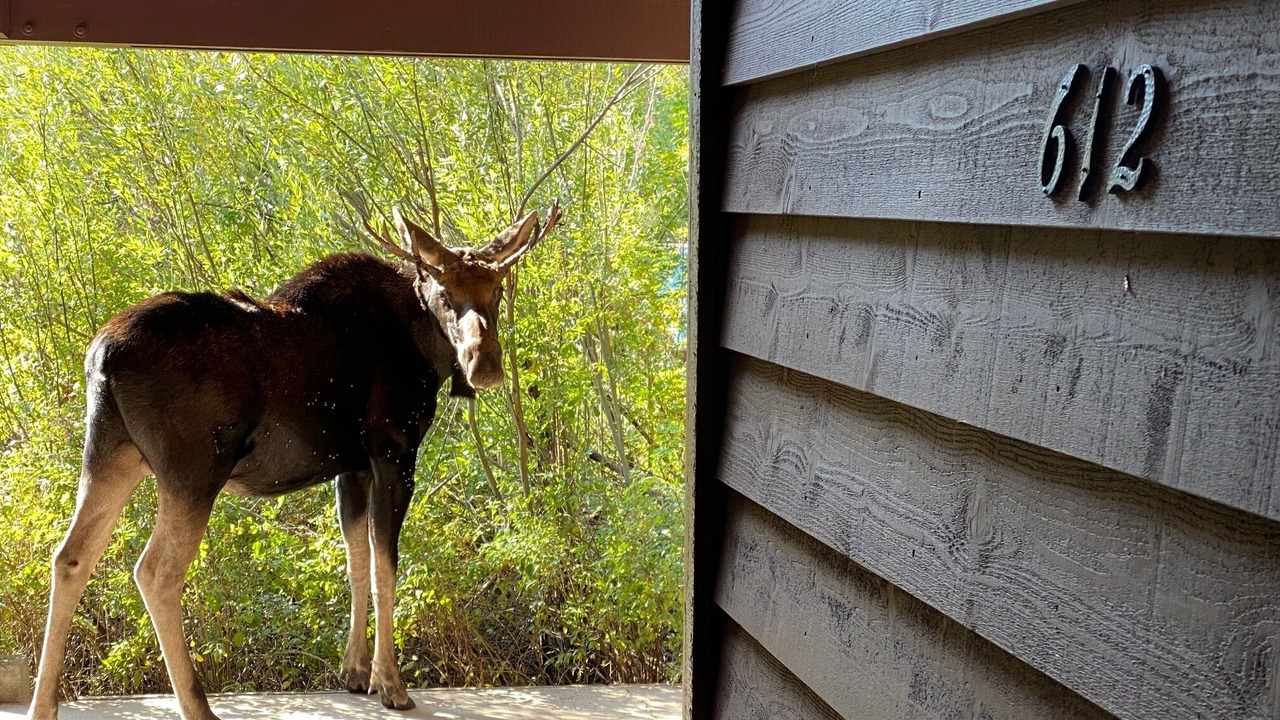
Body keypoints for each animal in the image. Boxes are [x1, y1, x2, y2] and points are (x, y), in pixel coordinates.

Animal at [25, 200, 562, 720]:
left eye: (497, 289)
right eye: (445, 293)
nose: (484, 362)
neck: (426, 347)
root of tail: (102, 356)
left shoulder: (351, 467)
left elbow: (356, 561)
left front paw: (355, 673)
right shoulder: (393, 451)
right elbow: (385, 569)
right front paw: (391, 685)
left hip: (110, 454)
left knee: (70, 556)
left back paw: (42, 705)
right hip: (192, 471)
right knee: (155, 571)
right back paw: (198, 706)